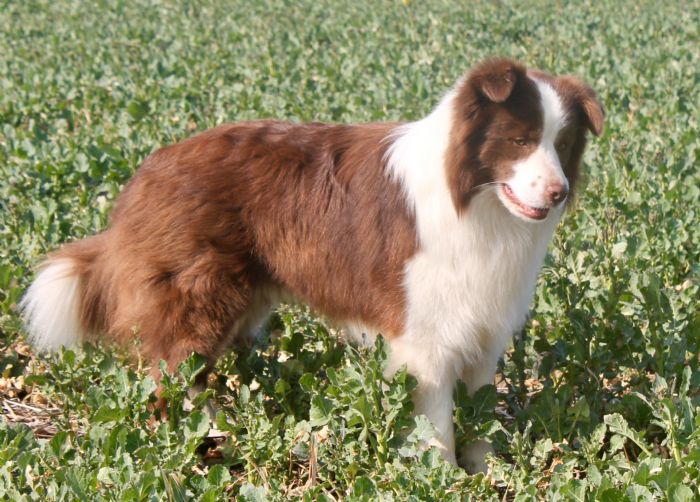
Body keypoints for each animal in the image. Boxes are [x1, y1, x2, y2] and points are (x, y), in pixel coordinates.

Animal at [21, 58, 600, 470]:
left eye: (563, 144)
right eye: (519, 140)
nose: (557, 192)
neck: (477, 203)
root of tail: (148, 170)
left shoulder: (483, 324)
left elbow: (478, 413)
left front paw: (483, 473)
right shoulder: (425, 336)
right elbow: (436, 424)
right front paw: (440, 478)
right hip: (200, 296)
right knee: (172, 374)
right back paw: (191, 448)